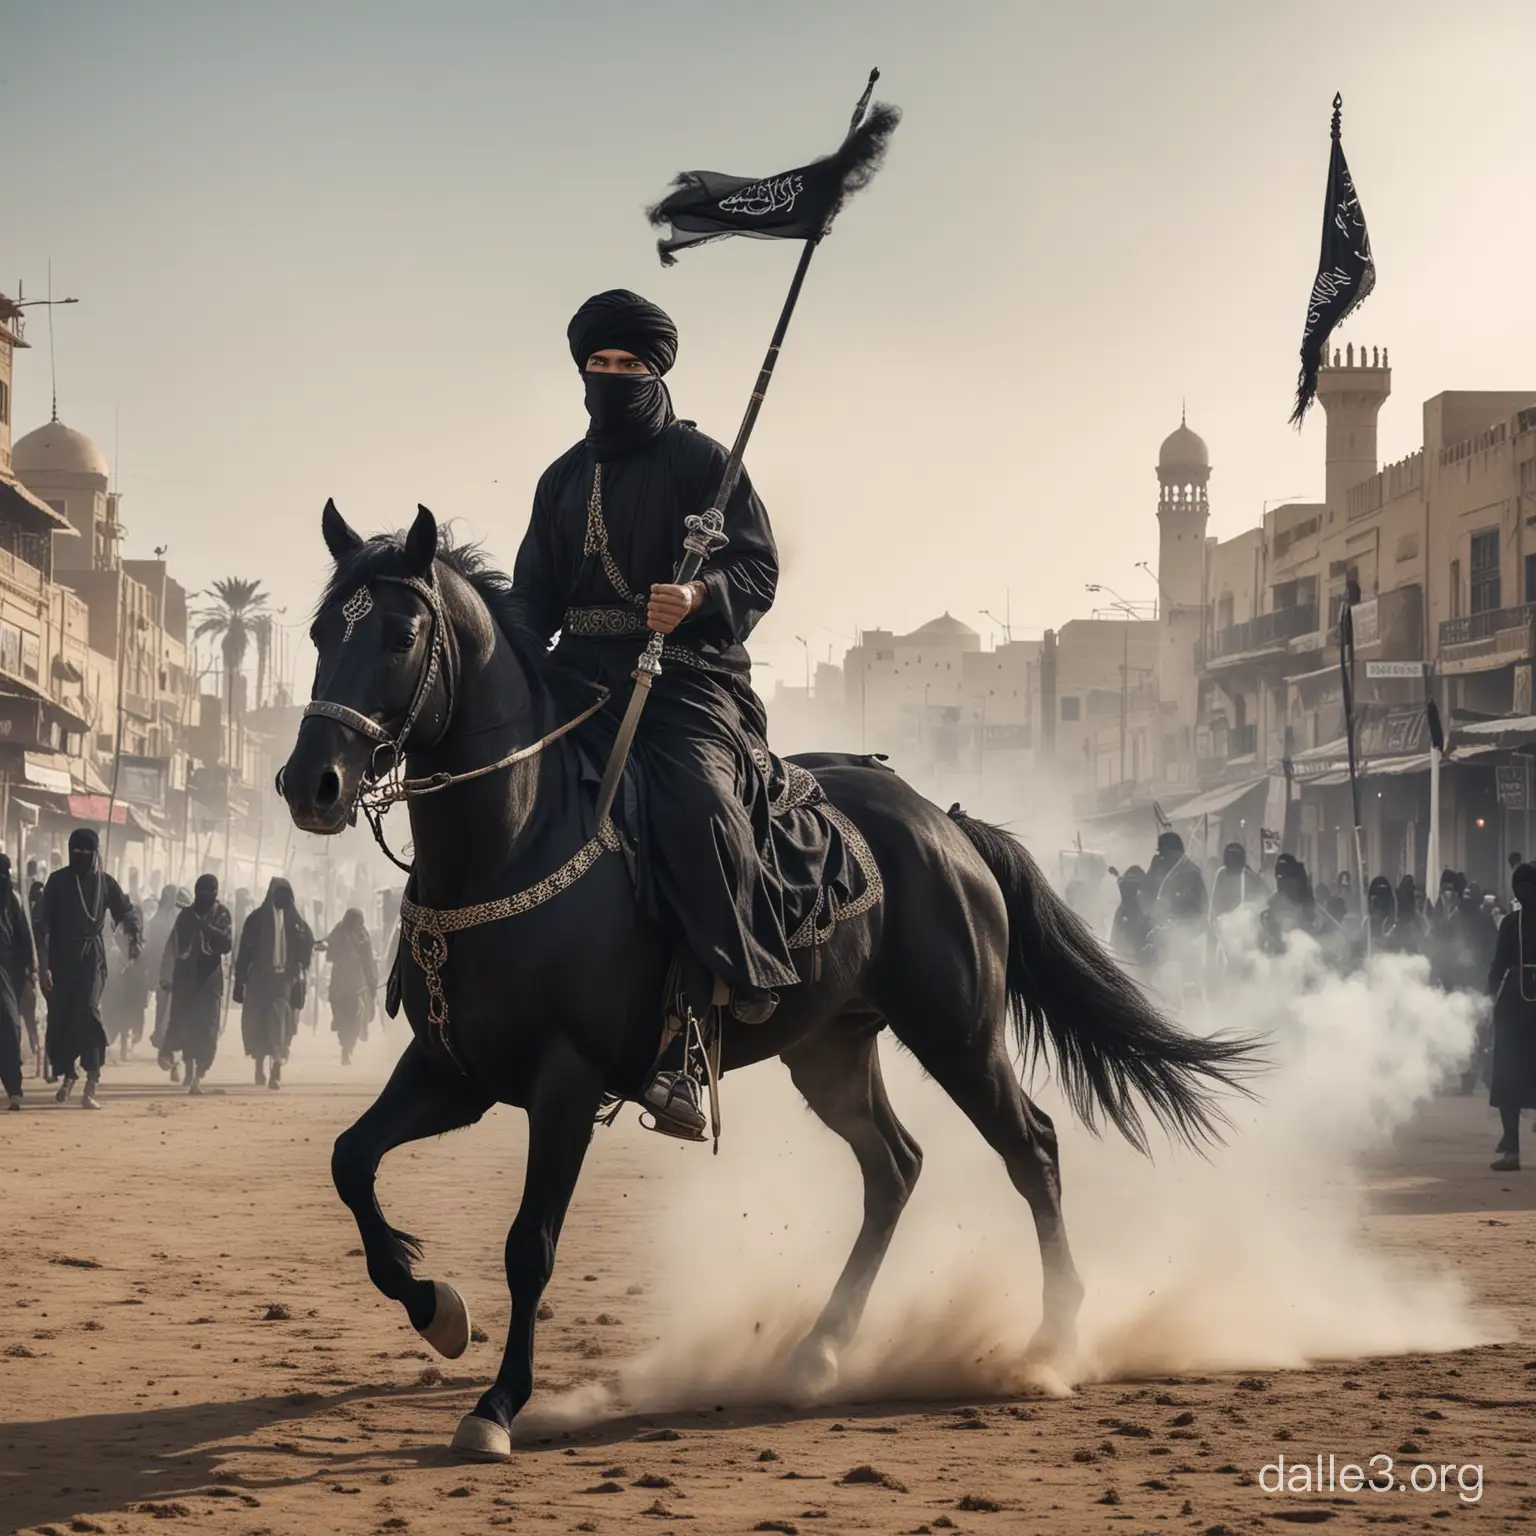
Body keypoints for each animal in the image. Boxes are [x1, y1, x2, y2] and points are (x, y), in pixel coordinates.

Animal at [282, 506, 1253, 1462]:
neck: (521, 834)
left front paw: (498, 1403)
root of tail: (949, 825)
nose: (311, 785)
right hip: (831, 1048)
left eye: (403, 634)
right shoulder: (456, 1073)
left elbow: (531, 1244)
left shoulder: (565, 1084)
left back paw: (1051, 1344)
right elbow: (349, 1162)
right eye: (322, 631)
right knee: (895, 1167)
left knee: (1032, 1148)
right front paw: (436, 1308)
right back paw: (819, 1351)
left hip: (959, 1034)